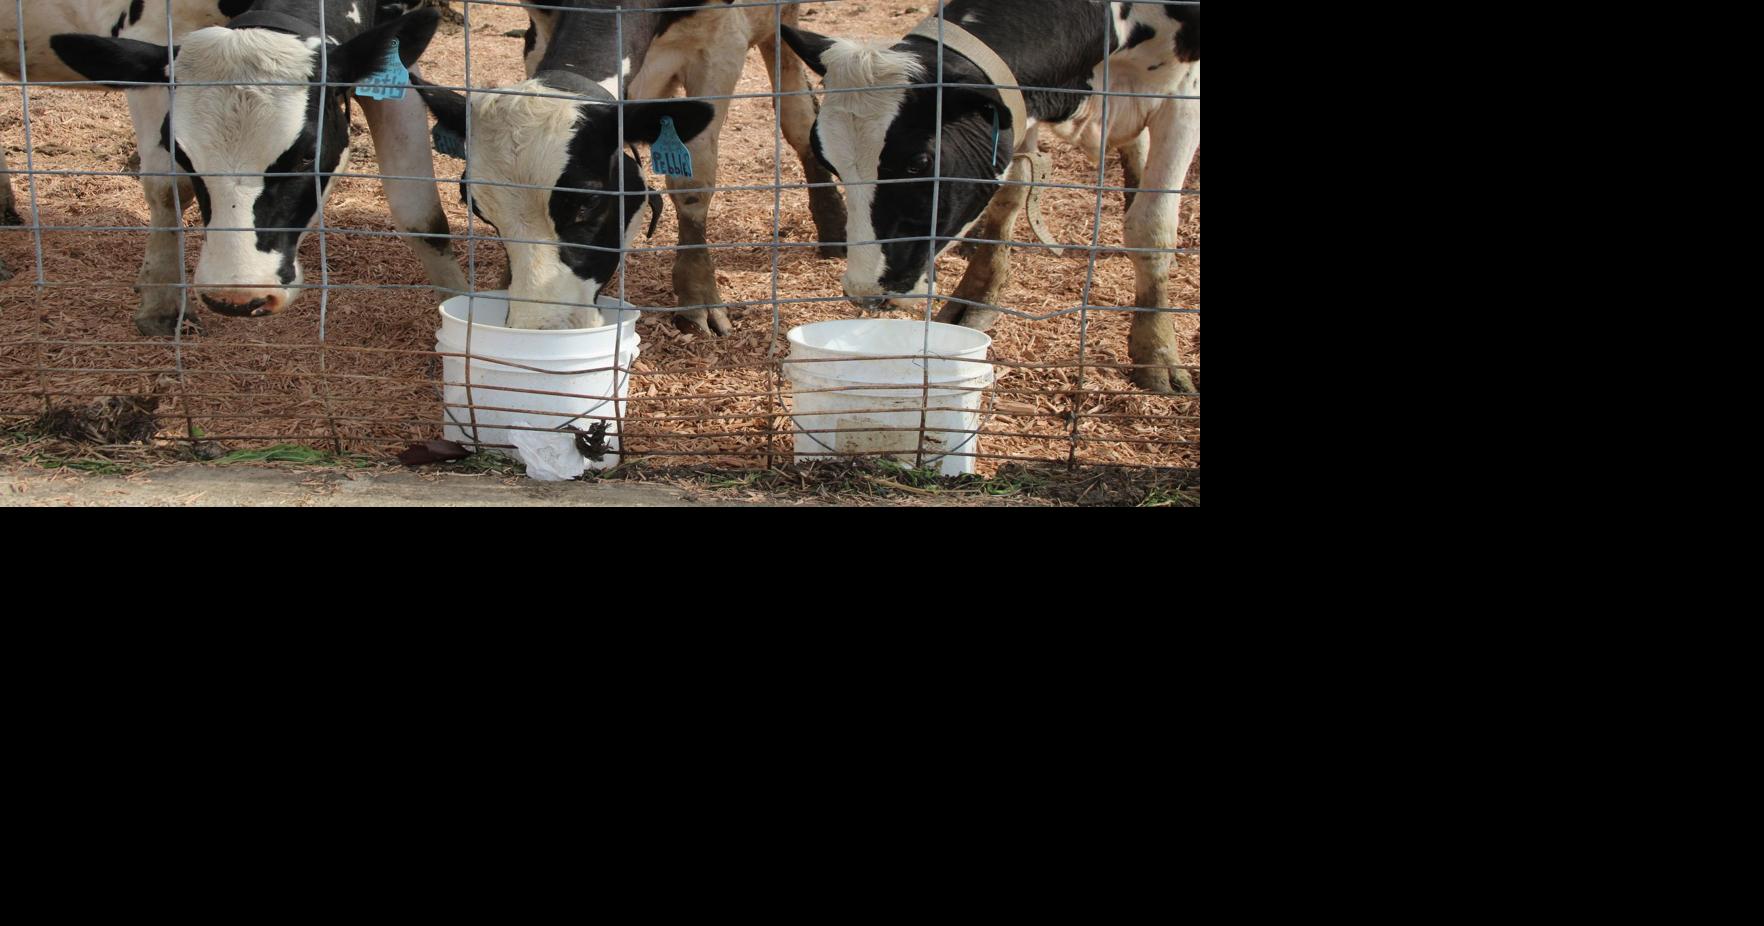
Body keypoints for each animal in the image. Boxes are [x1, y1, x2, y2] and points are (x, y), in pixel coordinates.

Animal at [15, 1, 469, 333]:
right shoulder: (149, 38)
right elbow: (166, 187)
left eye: (307, 154)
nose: (235, 296)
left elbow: (421, 217)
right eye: (182, 154)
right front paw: (161, 304)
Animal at [419, 0, 846, 331]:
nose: (541, 325)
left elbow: (692, 182)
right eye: (478, 210)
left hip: (781, 23)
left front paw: (698, 296)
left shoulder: (720, 43)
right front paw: (507, 280)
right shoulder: (538, 28)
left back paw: (835, 226)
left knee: (797, 115)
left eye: (587, 203)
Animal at [786, 0, 1199, 391]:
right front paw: (977, 296)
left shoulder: (1185, 98)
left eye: (918, 161)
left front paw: (1156, 352)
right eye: (829, 160)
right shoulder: (1021, 106)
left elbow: (1151, 228)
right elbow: (1010, 195)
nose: (864, 291)